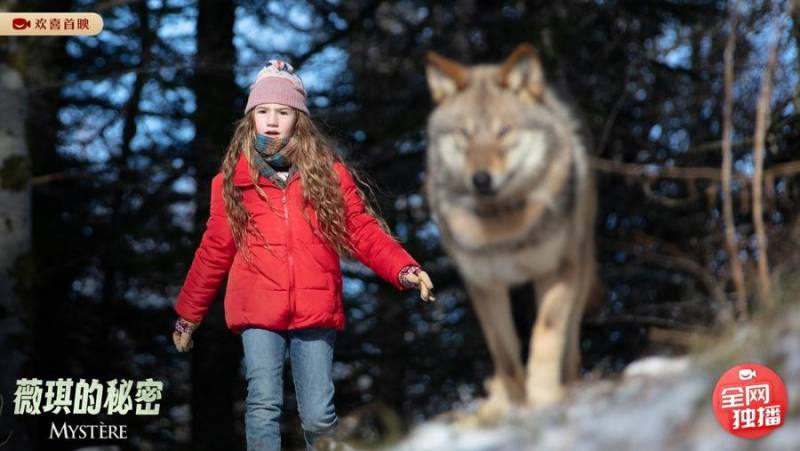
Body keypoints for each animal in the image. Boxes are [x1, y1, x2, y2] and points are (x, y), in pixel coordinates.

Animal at [422, 43, 596, 420]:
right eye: (465, 134)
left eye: (503, 131)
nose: (481, 179)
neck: (503, 227)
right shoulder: (483, 285)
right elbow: (506, 357)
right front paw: (517, 408)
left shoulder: (556, 271)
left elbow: (545, 334)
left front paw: (543, 397)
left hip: (579, 271)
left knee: (570, 343)